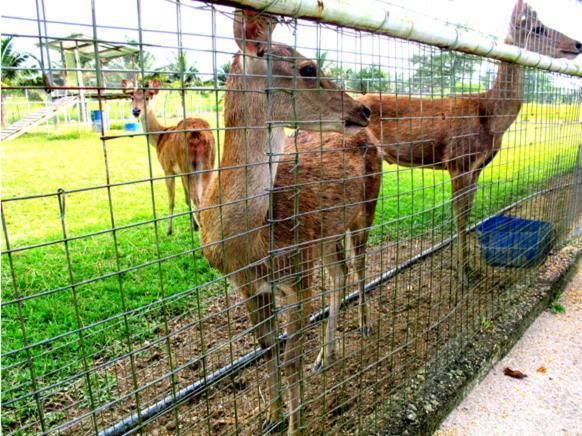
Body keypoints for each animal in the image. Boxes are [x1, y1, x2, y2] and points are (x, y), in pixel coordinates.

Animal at [122, 78, 216, 235]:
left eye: (147, 97)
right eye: (132, 98)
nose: (136, 111)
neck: (159, 138)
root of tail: (197, 134)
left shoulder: (167, 169)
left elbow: (172, 200)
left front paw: (169, 230)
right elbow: (186, 198)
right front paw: (194, 225)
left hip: (187, 165)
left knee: (197, 200)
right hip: (209, 163)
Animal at [198, 9, 386, 432]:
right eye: (307, 68)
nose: (363, 110)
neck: (250, 243)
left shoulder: (298, 274)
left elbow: (290, 359)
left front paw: (295, 425)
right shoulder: (248, 286)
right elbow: (268, 351)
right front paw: (271, 416)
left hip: (366, 208)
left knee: (360, 266)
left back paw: (365, 325)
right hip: (327, 234)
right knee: (339, 273)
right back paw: (325, 356)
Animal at [358, 0, 580, 288]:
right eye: (537, 28)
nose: (577, 44)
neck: (491, 120)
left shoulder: (477, 167)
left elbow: (468, 213)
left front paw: (471, 269)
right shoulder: (458, 161)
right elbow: (460, 217)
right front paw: (463, 275)